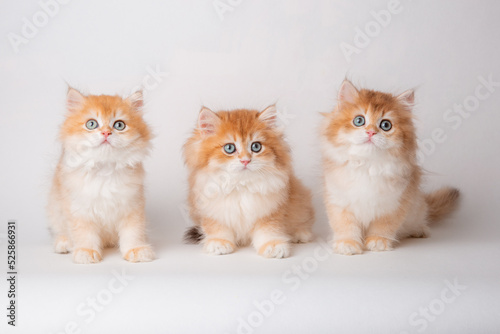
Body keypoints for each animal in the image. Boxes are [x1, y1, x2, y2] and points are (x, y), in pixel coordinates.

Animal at [49, 88, 155, 264]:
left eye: (119, 125)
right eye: (91, 124)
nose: (106, 132)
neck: (105, 168)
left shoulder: (133, 206)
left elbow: (133, 232)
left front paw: (136, 250)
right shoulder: (79, 209)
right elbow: (84, 234)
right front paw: (86, 252)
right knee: (61, 230)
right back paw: (64, 243)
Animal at [184, 105, 314, 258]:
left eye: (256, 147)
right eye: (229, 148)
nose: (245, 160)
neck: (241, 185)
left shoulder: (270, 211)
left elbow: (269, 231)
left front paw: (273, 245)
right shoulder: (212, 211)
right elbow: (218, 228)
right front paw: (219, 243)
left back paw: (300, 234)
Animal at [322, 81, 458, 256]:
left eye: (385, 125)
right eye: (359, 121)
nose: (371, 132)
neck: (368, 166)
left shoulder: (395, 202)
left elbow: (383, 226)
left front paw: (377, 242)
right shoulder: (339, 201)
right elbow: (345, 226)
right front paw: (347, 244)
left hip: (417, 208)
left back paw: (420, 230)